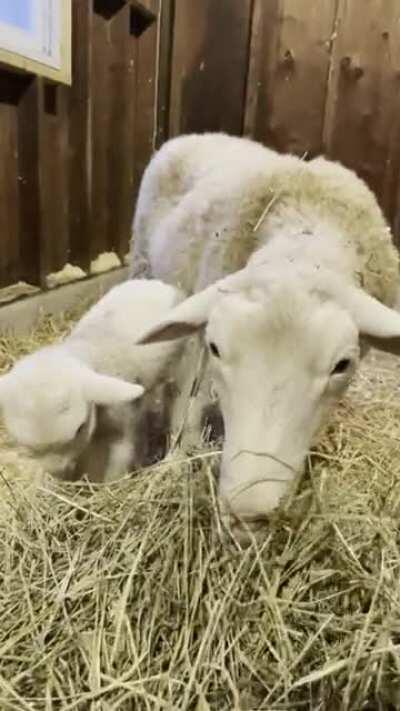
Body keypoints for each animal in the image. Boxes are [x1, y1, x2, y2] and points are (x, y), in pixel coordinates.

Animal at [129, 132, 400, 542]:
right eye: (216, 348)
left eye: (342, 365)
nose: (248, 515)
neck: (305, 234)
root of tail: (200, 135)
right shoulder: (198, 331)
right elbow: (187, 401)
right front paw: (175, 463)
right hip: (142, 262)